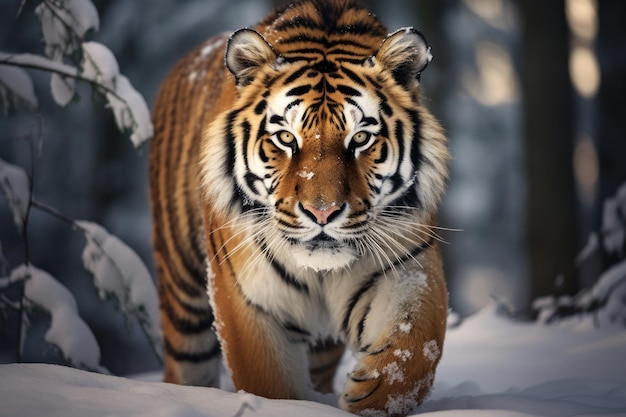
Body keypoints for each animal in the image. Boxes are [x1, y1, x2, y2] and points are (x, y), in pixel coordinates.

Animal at [146, 0, 448, 412]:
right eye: (286, 138)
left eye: (361, 139)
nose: (322, 213)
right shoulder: (247, 295)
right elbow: (268, 382)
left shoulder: (406, 264)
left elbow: (416, 345)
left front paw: (367, 393)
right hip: (183, 303)